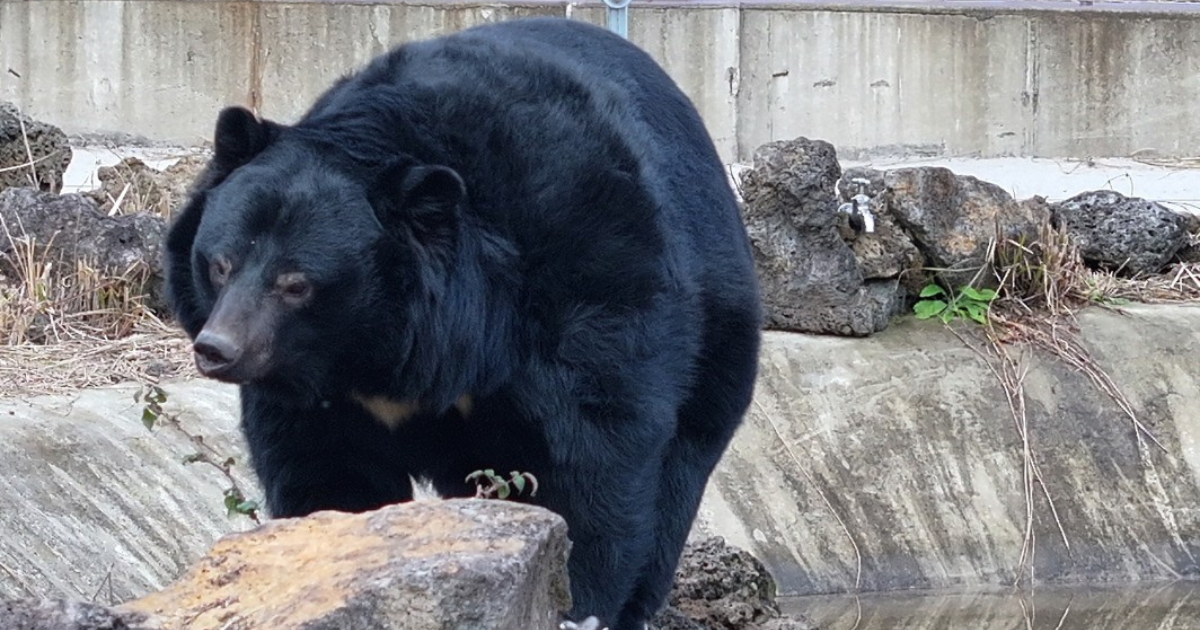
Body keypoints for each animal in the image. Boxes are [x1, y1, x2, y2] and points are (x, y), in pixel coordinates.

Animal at [163, 15, 758, 628]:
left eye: (296, 283)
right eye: (219, 264)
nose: (217, 348)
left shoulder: (585, 274)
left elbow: (592, 450)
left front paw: (571, 600)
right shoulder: (319, 387)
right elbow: (323, 465)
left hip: (717, 333)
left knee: (679, 469)